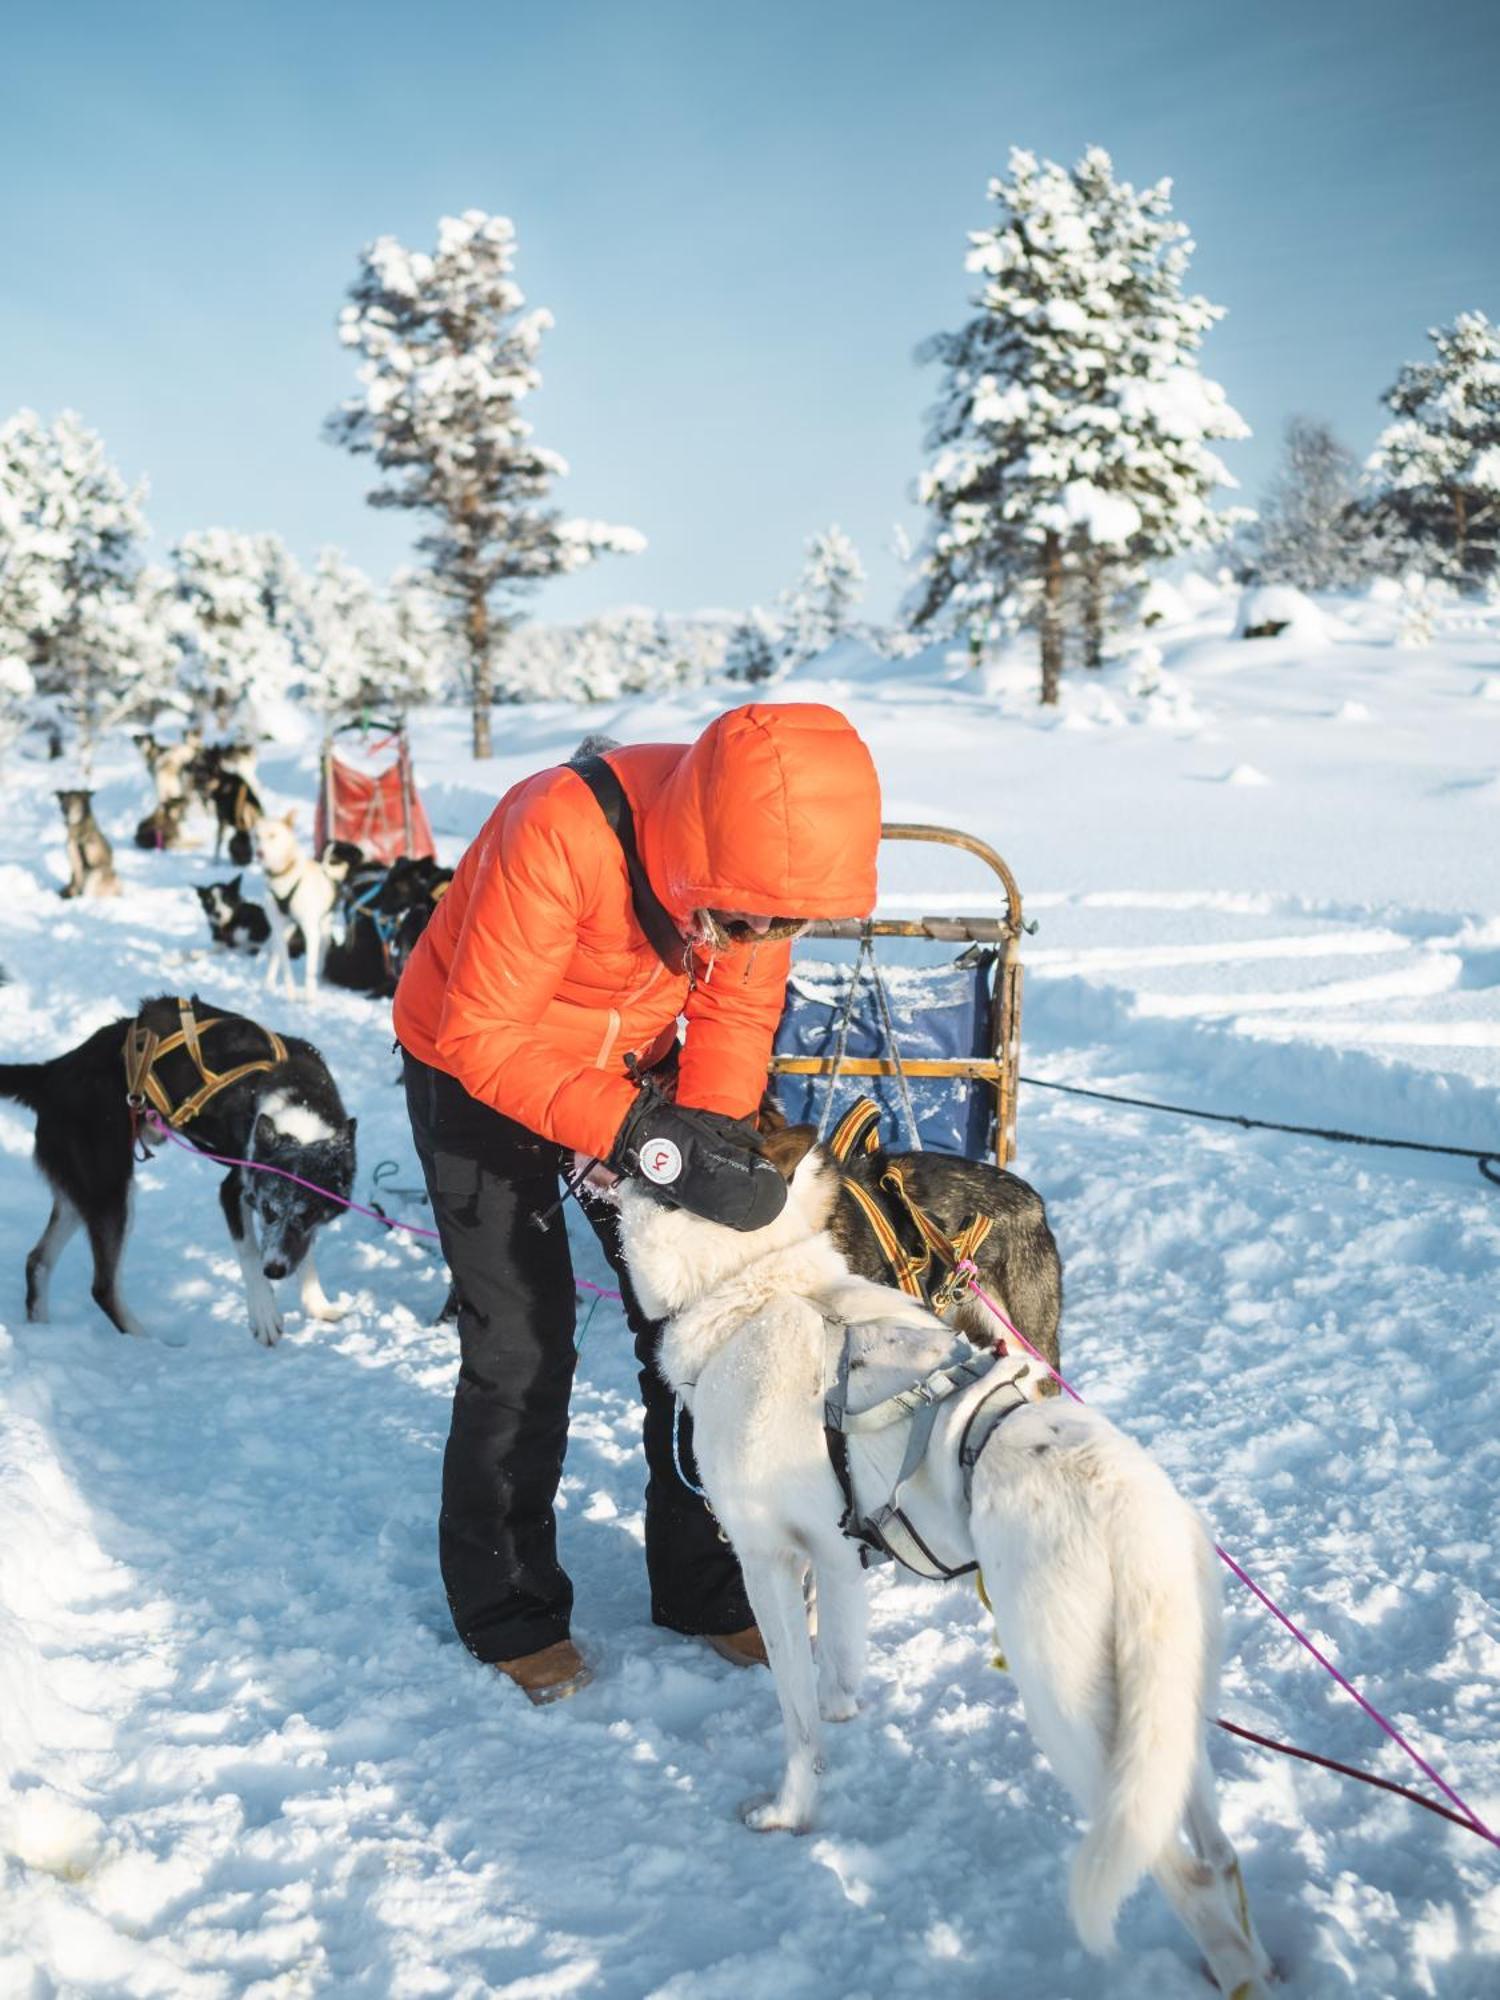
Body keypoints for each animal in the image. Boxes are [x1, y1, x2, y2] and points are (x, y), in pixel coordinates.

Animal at [0, 996, 358, 1344]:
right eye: (267, 1210)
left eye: (307, 1213)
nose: (275, 1271)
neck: (300, 1110)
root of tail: (52, 1072)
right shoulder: (234, 1191)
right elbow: (250, 1253)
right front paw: (264, 1313)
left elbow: (305, 1251)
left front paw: (318, 1305)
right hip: (112, 1195)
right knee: (103, 1288)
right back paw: (147, 1344)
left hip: (83, 1195)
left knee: (37, 1262)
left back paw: (42, 1331)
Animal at [616, 1128, 1272, 2000]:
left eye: (651, 1131)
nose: (595, 1148)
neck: (759, 1284)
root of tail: (1130, 1514)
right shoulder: (837, 1555)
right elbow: (838, 1669)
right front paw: (845, 1710)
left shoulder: (769, 1560)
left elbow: (798, 1718)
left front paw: (791, 1814)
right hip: (1167, 1721)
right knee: (1219, 1853)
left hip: (1074, 1719)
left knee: (1185, 1877)